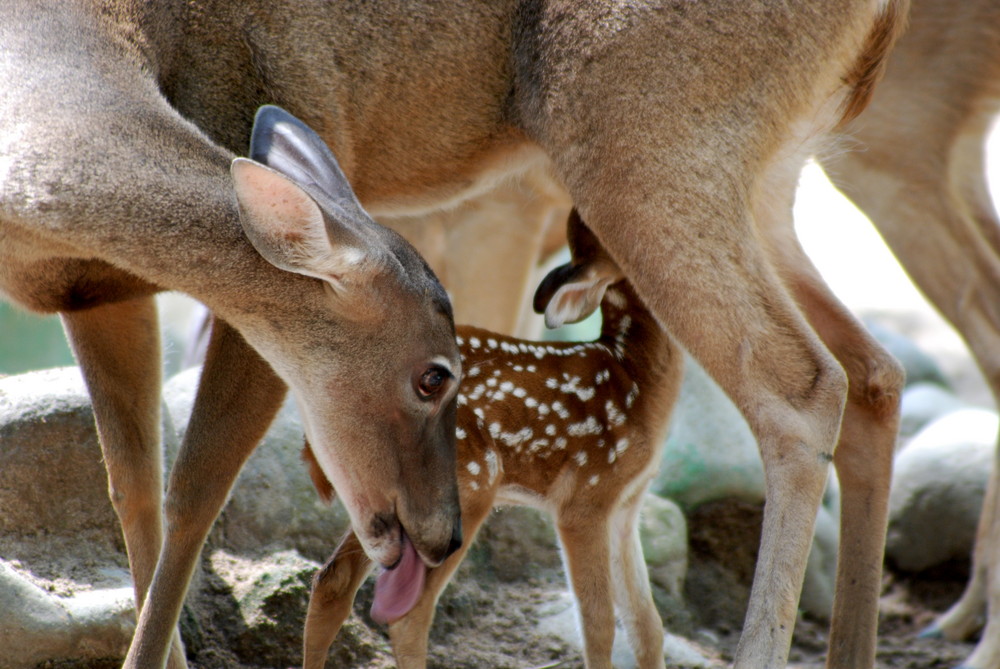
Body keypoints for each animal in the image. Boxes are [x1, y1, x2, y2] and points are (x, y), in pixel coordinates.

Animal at [300, 213, 684, 668]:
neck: (633, 379)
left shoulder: (627, 506)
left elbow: (648, 626)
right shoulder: (585, 497)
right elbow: (599, 623)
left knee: (331, 582)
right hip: (469, 486)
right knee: (408, 615)